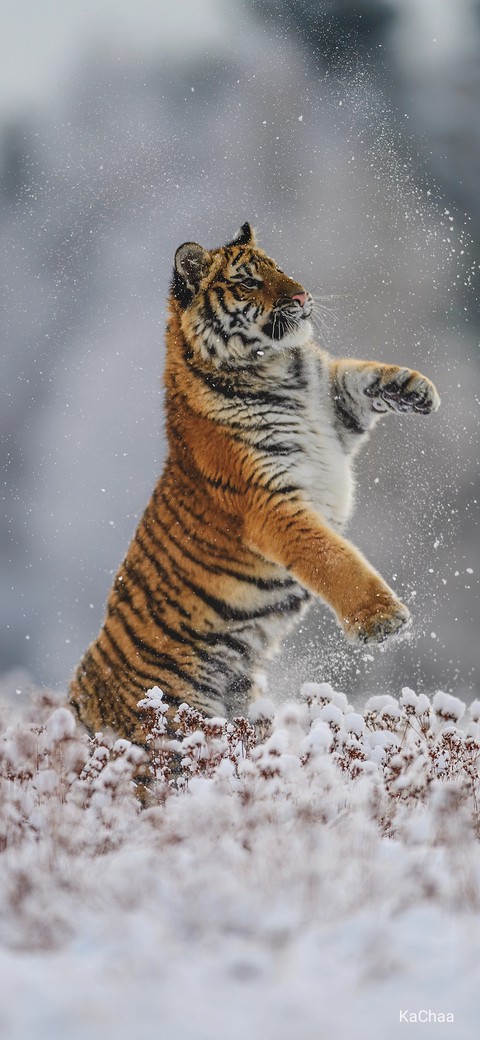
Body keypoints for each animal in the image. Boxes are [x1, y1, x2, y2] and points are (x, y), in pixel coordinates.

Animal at [69, 222, 440, 746]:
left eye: (278, 268)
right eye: (248, 281)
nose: (302, 295)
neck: (280, 371)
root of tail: (78, 700)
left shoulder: (334, 414)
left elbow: (357, 376)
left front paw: (416, 388)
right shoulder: (272, 502)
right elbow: (334, 558)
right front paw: (383, 620)